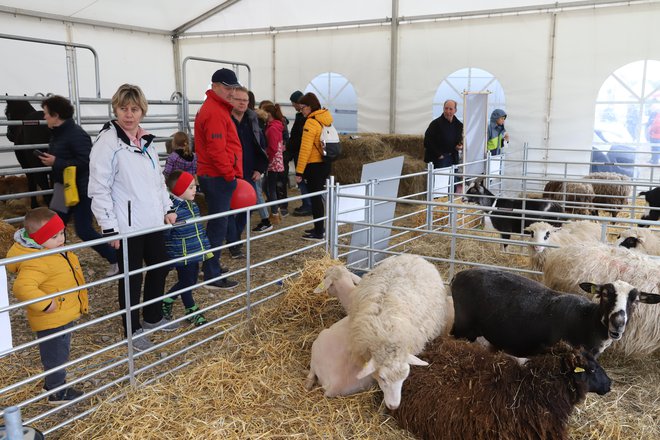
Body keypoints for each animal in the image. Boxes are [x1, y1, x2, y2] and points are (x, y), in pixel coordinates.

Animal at [452, 268, 656, 358]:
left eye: (635, 300)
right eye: (604, 294)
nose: (618, 323)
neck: (587, 321)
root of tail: (458, 275)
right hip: (461, 326)